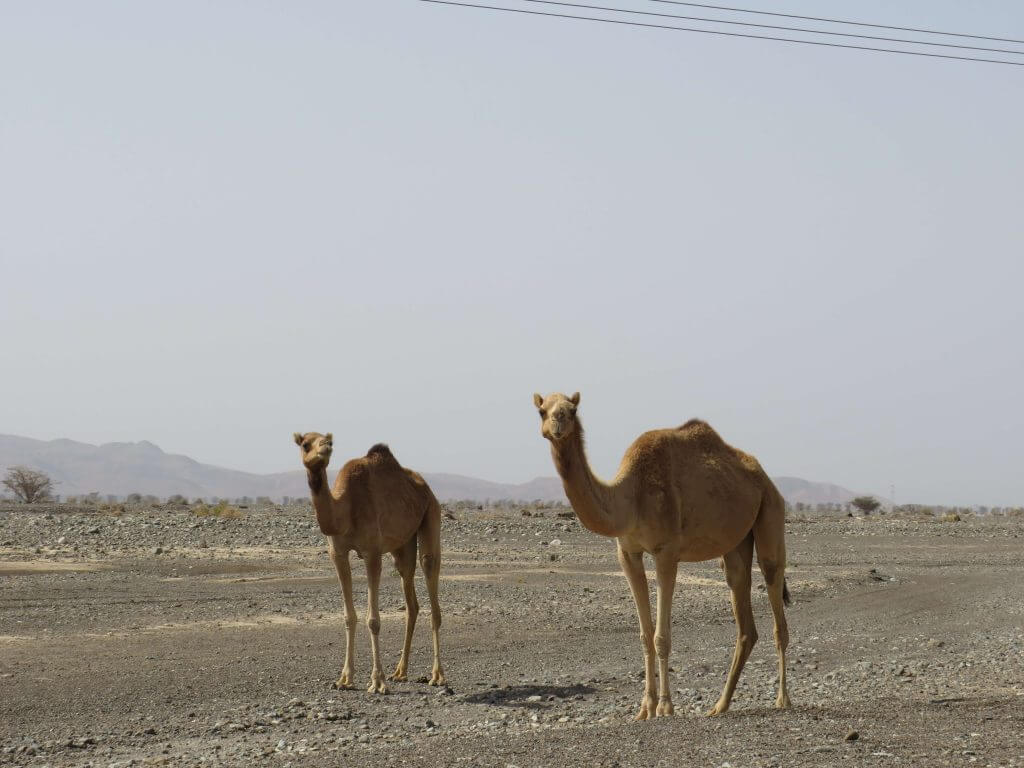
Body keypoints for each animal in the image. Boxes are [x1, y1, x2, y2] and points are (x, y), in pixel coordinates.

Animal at [292, 434, 444, 696]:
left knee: (431, 582)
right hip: (402, 546)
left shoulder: (372, 553)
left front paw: (378, 682)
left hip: (431, 516)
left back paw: (437, 676)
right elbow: (348, 616)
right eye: (305, 444)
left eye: (327, 440)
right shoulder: (338, 554)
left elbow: (373, 620)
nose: (325, 448)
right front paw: (344, 679)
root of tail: (425, 487)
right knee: (411, 601)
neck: (344, 509)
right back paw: (400, 671)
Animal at [536, 393, 790, 720]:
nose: (558, 423)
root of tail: (765, 478)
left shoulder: (666, 552)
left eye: (572, 409)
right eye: (542, 410)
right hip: (736, 542)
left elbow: (661, 637)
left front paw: (666, 706)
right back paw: (720, 705)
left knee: (775, 598)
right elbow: (645, 636)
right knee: (744, 614)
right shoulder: (627, 552)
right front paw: (645, 708)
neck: (630, 498)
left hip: (770, 510)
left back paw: (783, 699)